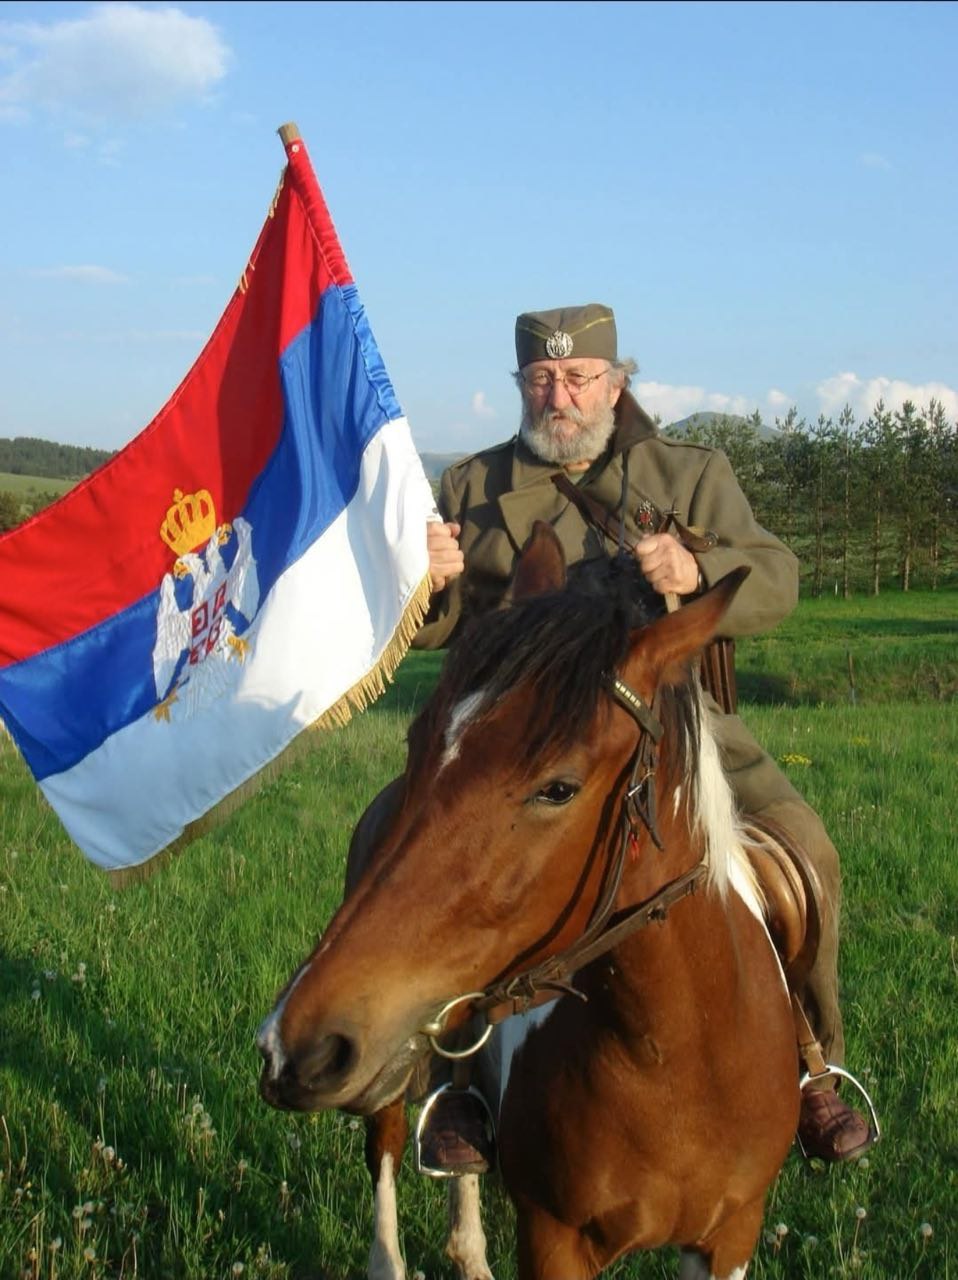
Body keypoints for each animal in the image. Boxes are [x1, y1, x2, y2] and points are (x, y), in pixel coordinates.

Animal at [258, 523, 801, 1280]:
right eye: (417, 742)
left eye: (559, 788)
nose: (293, 1044)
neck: (675, 1060)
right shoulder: (552, 1240)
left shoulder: (730, 1237)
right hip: (387, 1068)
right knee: (387, 1150)